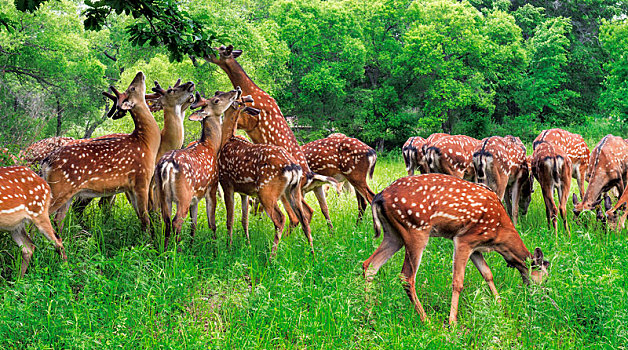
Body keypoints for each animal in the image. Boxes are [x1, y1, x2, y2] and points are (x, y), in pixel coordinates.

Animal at [40, 72, 161, 232]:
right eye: (132, 88)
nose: (140, 73)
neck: (146, 143)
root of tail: (46, 162)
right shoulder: (141, 179)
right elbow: (145, 219)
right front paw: (149, 237)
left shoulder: (129, 187)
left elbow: (140, 217)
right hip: (59, 188)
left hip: (67, 193)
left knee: (57, 220)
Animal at [156, 87, 242, 247]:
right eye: (216, 100)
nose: (236, 90)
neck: (211, 146)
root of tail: (167, 166)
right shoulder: (212, 186)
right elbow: (212, 223)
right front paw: (215, 248)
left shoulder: (195, 198)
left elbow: (193, 224)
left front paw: (192, 246)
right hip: (184, 194)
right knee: (176, 222)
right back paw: (178, 251)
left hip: (163, 194)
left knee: (166, 221)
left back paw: (164, 251)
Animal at [207, 44, 338, 230]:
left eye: (218, 50)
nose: (203, 52)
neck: (252, 90)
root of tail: (309, 176)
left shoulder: (249, 120)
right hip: (300, 191)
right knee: (314, 210)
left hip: (291, 190)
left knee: (302, 213)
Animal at [218, 98, 314, 258]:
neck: (227, 140)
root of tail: (293, 167)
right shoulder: (243, 191)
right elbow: (244, 219)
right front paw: (247, 245)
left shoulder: (227, 183)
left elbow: (229, 219)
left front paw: (228, 248)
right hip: (292, 191)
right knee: (303, 218)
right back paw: (313, 255)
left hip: (266, 190)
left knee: (281, 218)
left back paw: (271, 257)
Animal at [364, 174, 548, 324]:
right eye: (545, 278)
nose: (543, 299)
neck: (498, 237)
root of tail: (379, 197)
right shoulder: (464, 239)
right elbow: (458, 281)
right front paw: (452, 322)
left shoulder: (476, 247)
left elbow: (487, 274)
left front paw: (501, 306)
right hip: (415, 229)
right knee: (406, 277)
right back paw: (426, 321)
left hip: (393, 235)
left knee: (369, 265)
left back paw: (369, 314)